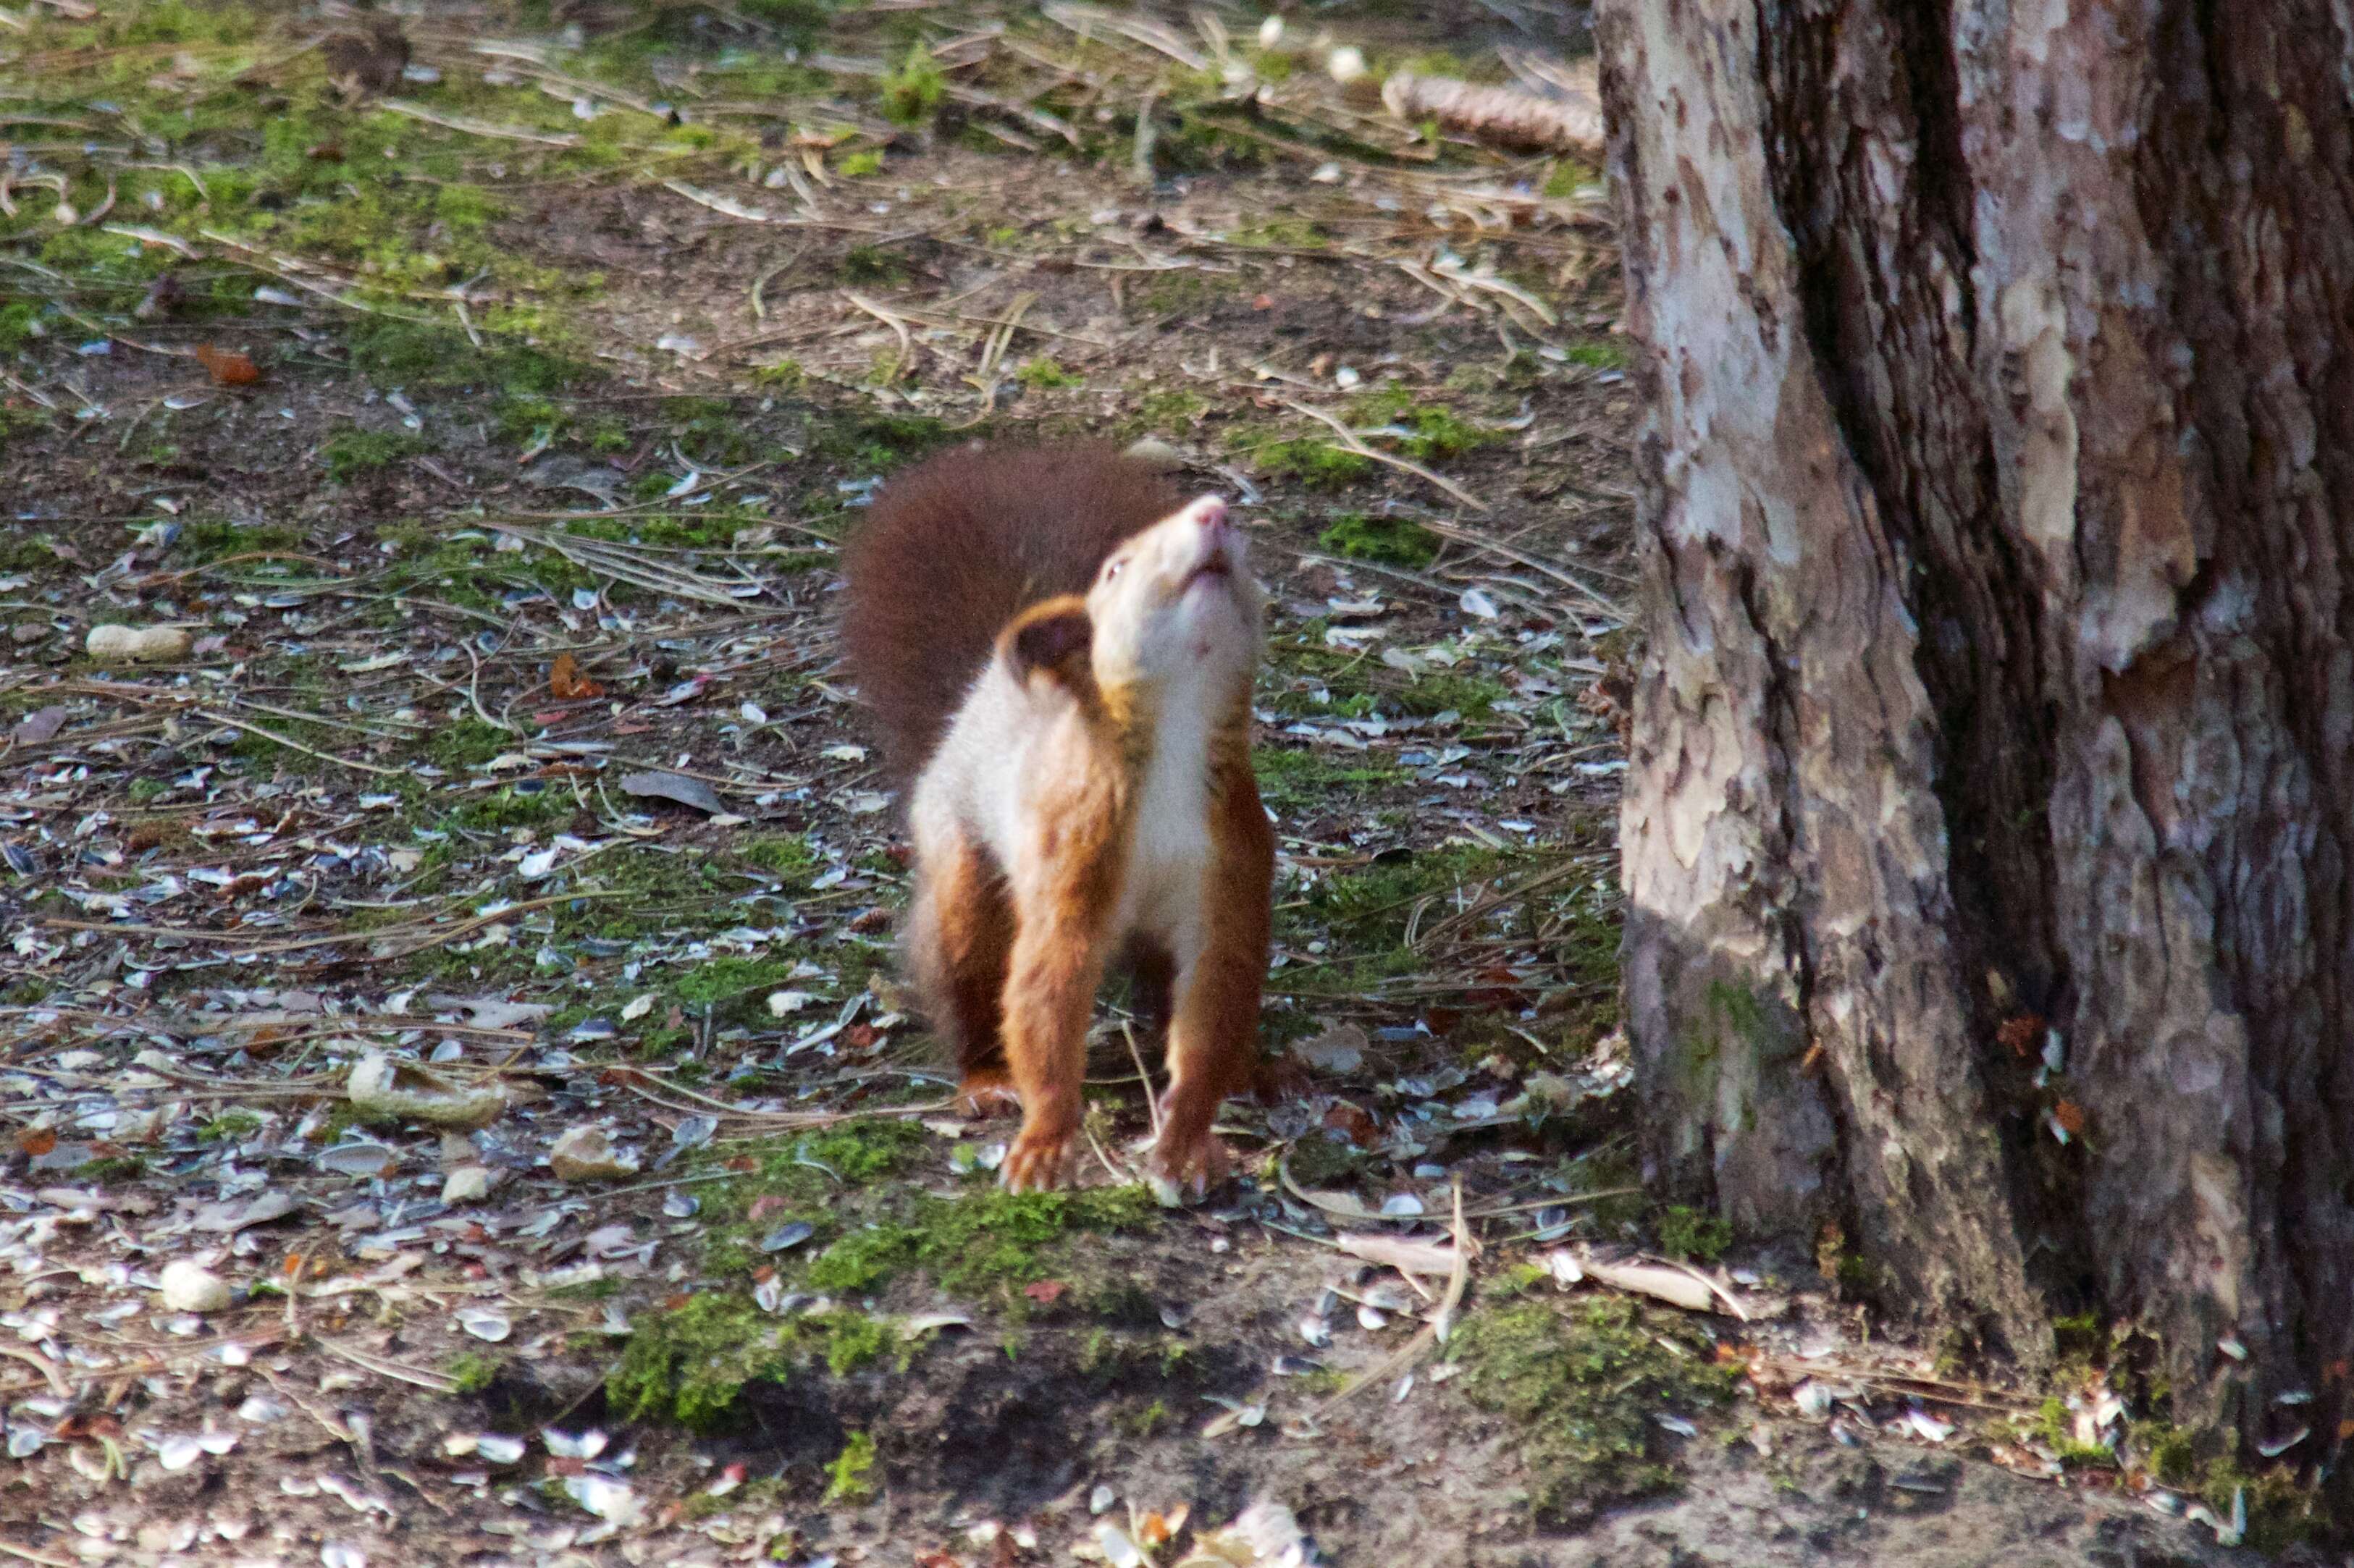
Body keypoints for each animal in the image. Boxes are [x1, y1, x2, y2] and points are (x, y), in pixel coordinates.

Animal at [847, 440, 1280, 1196]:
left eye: (1248, 556)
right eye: (1116, 568)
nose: (1214, 512)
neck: (1177, 731)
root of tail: (977, 698)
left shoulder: (1231, 865)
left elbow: (1215, 991)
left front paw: (1187, 1138)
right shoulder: (1074, 850)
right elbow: (1049, 989)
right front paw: (1047, 1142)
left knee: (1169, 994)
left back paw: (1241, 1071)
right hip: (963, 865)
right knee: (969, 975)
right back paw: (987, 1080)